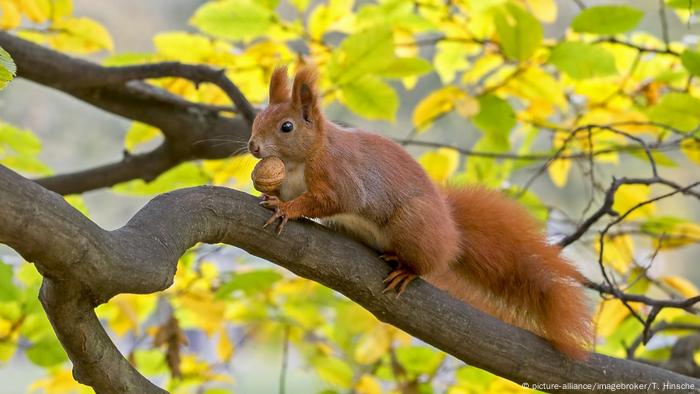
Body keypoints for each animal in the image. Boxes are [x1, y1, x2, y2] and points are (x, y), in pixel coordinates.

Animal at [246, 66, 592, 358]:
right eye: (257, 119)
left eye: (286, 127)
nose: (253, 146)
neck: (299, 160)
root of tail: (452, 234)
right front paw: (269, 193)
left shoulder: (339, 175)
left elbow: (333, 200)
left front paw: (287, 209)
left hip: (413, 224)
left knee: (424, 263)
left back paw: (406, 270)